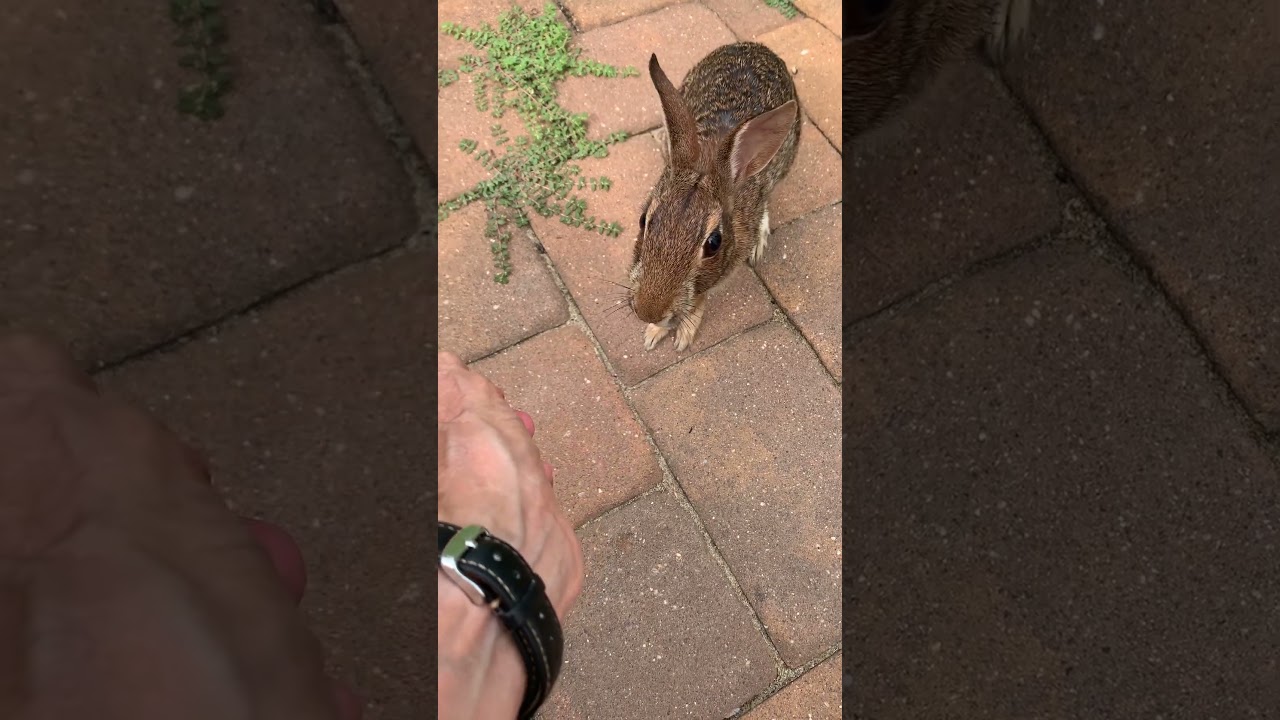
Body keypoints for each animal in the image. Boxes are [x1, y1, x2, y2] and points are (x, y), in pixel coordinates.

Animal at [627, 42, 800, 352]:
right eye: (643, 220)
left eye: (714, 243)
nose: (648, 311)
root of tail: (759, 47)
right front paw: (653, 332)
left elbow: (699, 300)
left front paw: (680, 336)